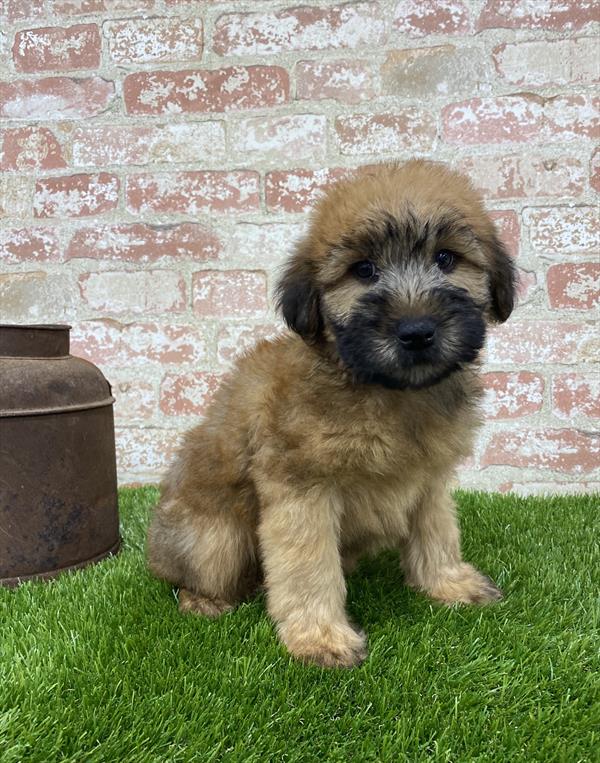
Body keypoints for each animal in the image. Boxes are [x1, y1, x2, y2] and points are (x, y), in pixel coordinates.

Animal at [146, 161, 516, 668]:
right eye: (364, 270)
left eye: (446, 259)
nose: (416, 331)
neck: (384, 389)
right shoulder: (302, 489)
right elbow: (308, 566)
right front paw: (319, 637)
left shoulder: (430, 478)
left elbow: (437, 529)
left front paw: (448, 582)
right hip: (213, 539)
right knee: (196, 571)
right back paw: (205, 600)